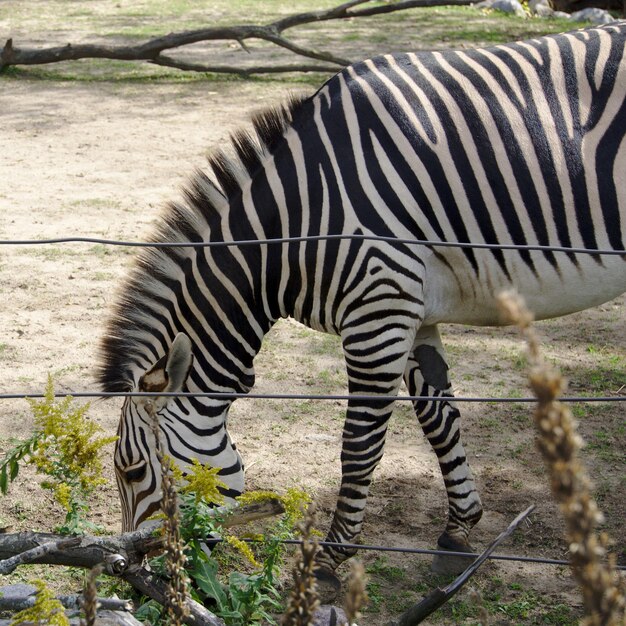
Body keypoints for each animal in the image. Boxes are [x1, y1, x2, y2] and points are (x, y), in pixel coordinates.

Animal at [97, 22, 624, 584]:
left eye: (133, 470)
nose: (127, 570)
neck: (296, 226)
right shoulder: (411, 311)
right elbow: (439, 417)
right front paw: (459, 528)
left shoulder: (378, 308)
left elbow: (359, 443)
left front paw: (331, 559)